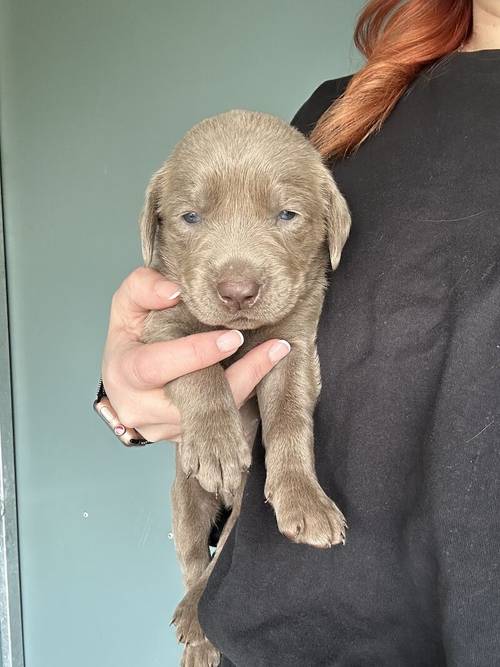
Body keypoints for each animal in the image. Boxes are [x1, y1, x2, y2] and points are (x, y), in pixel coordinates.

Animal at [140, 107, 352, 664]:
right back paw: (194, 629)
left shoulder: (292, 345)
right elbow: (202, 370)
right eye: (191, 217)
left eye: (287, 215)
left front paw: (304, 499)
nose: (238, 291)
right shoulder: (163, 329)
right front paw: (216, 444)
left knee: (221, 559)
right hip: (185, 501)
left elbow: (290, 419)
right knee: (195, 561)